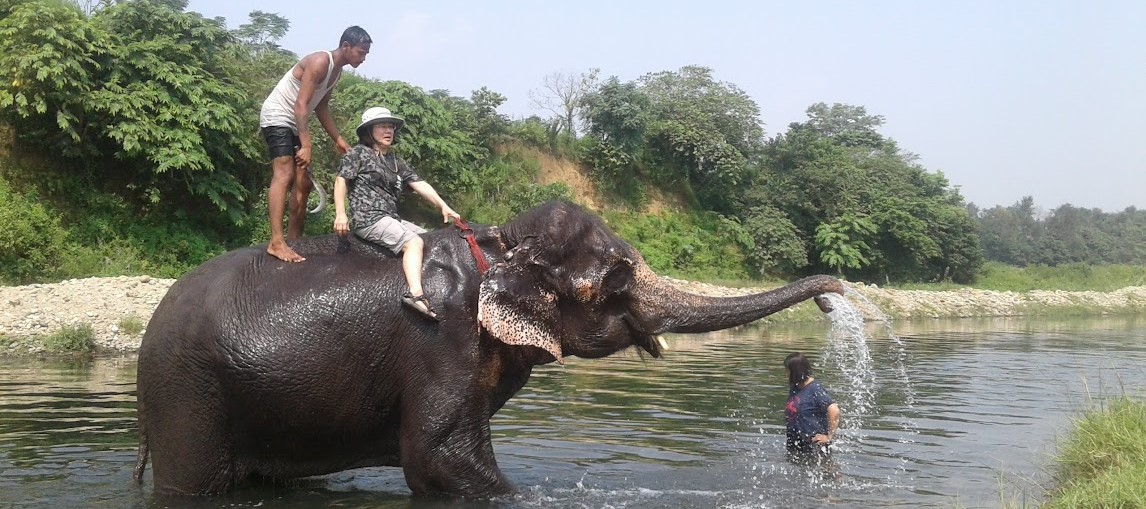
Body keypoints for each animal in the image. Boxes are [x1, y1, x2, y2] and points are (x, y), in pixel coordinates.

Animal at [134, 198, 848, 497]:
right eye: (616, 280)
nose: (834, 293)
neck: (498, 245)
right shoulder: (437, 340)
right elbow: (437, 456)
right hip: (186, 396)